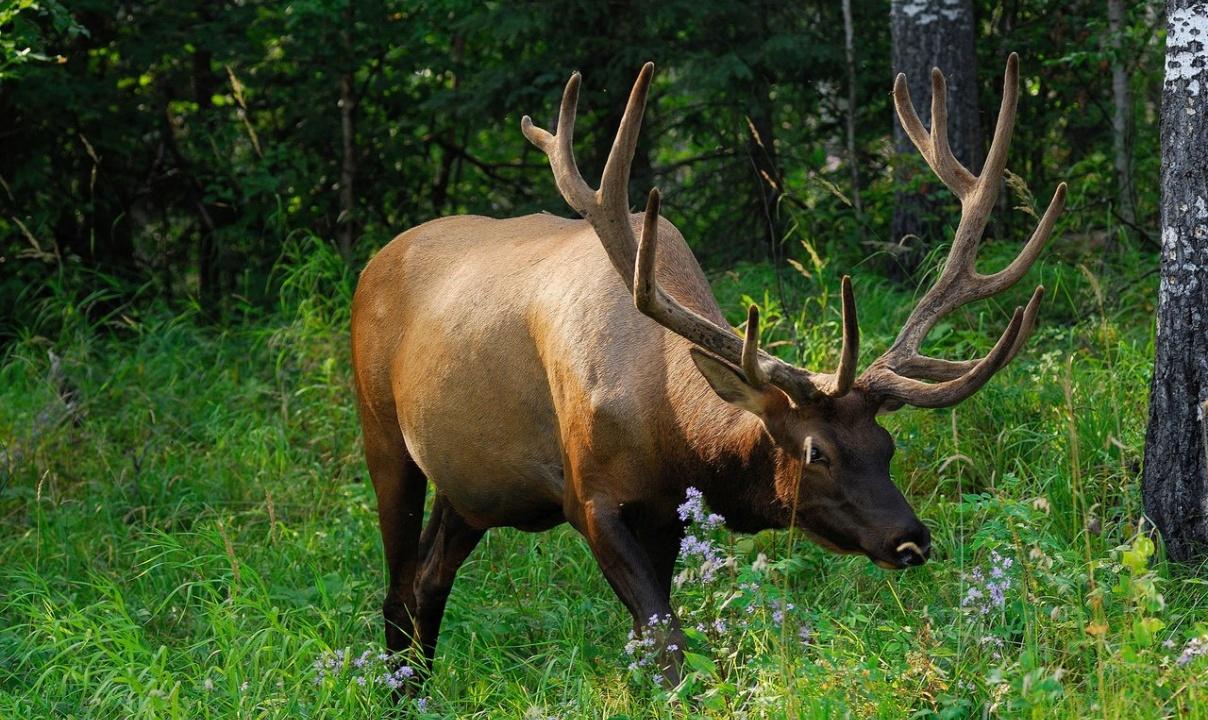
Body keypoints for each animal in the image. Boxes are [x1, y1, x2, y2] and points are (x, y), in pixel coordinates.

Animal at [352, 51, 1067, 681]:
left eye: (887, 446)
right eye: (817, 453)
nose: (910, 539)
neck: (666, 424)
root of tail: (374, 261)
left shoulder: (667, 513)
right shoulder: (589, 496)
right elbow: (665, 643)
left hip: (470, 487)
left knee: (429, 582)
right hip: (383, 434)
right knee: (397, 588)